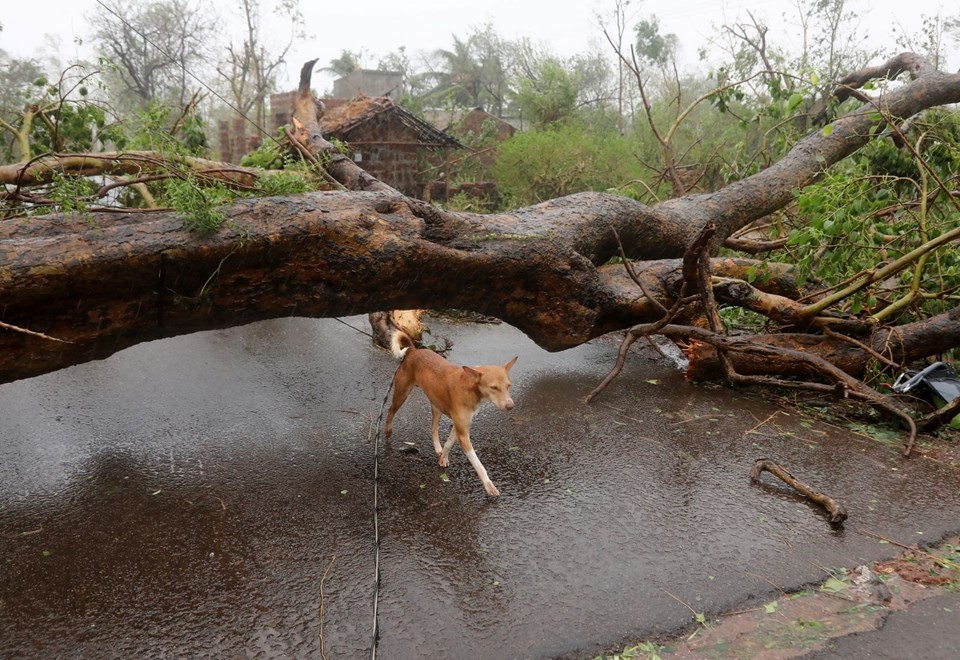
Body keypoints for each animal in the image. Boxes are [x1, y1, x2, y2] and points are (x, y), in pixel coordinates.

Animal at [382, 332, 516, 498]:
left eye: (509, 386)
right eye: (494, 387)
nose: (510, 406)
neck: (469, 387)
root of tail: (413, 351)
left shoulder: (460, 426)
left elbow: (449, 443)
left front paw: (443, 457)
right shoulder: (463, 434)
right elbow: (478, 463)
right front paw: (488, 485)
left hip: (436, 406)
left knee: (433, 429)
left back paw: (437, 448)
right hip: (401, 394)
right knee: (390, 411)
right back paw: (388, 431)